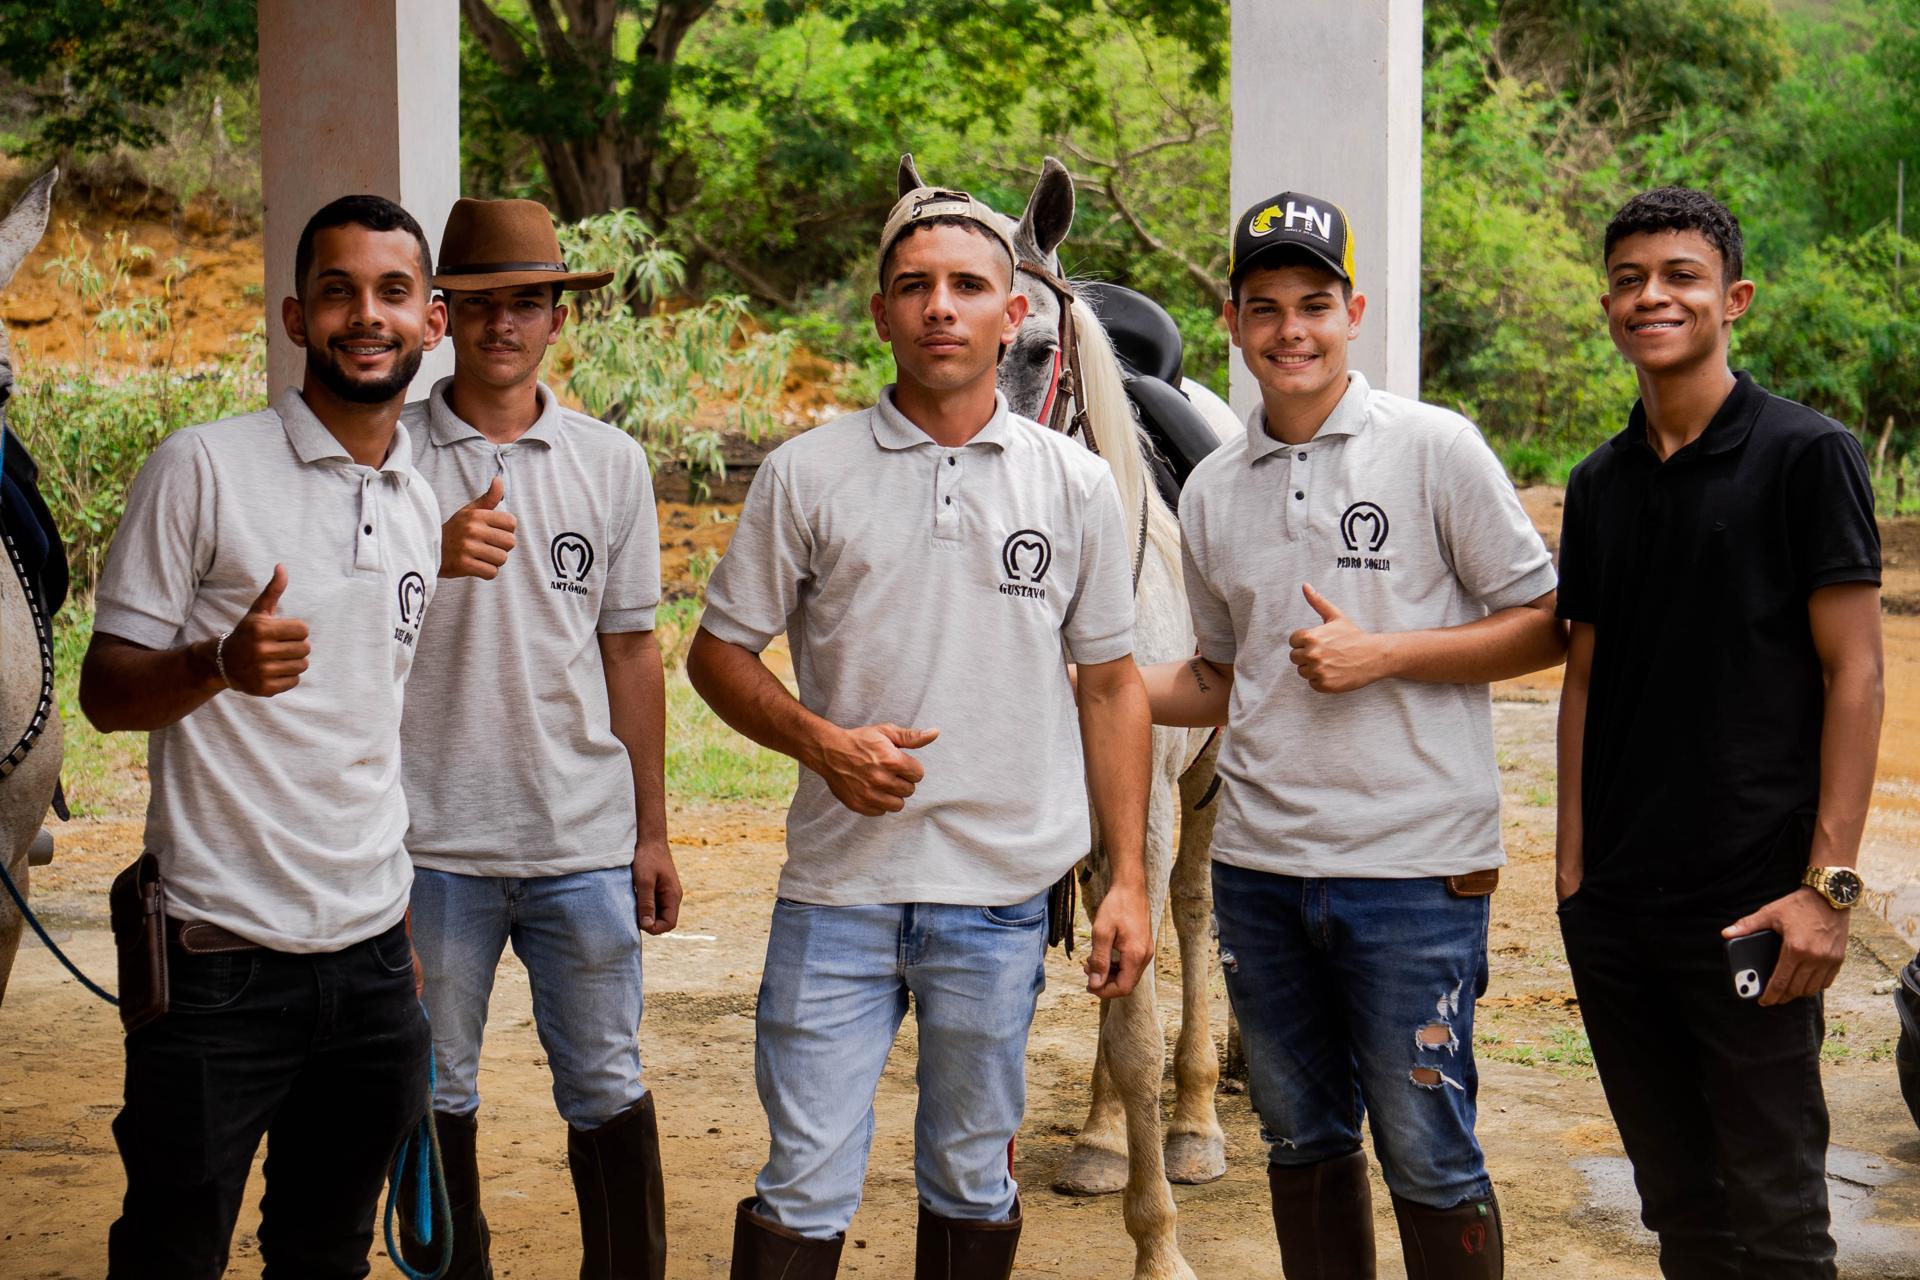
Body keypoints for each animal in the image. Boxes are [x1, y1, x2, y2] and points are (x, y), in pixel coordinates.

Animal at [896, 155, 1233, 1280]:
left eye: (1037, 345)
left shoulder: (1150, 810)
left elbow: (1134, 1017)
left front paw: (1159, 1244)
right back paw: (1095, 1140)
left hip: (1201, 790)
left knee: (1188, 919)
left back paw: (1195, 1122)